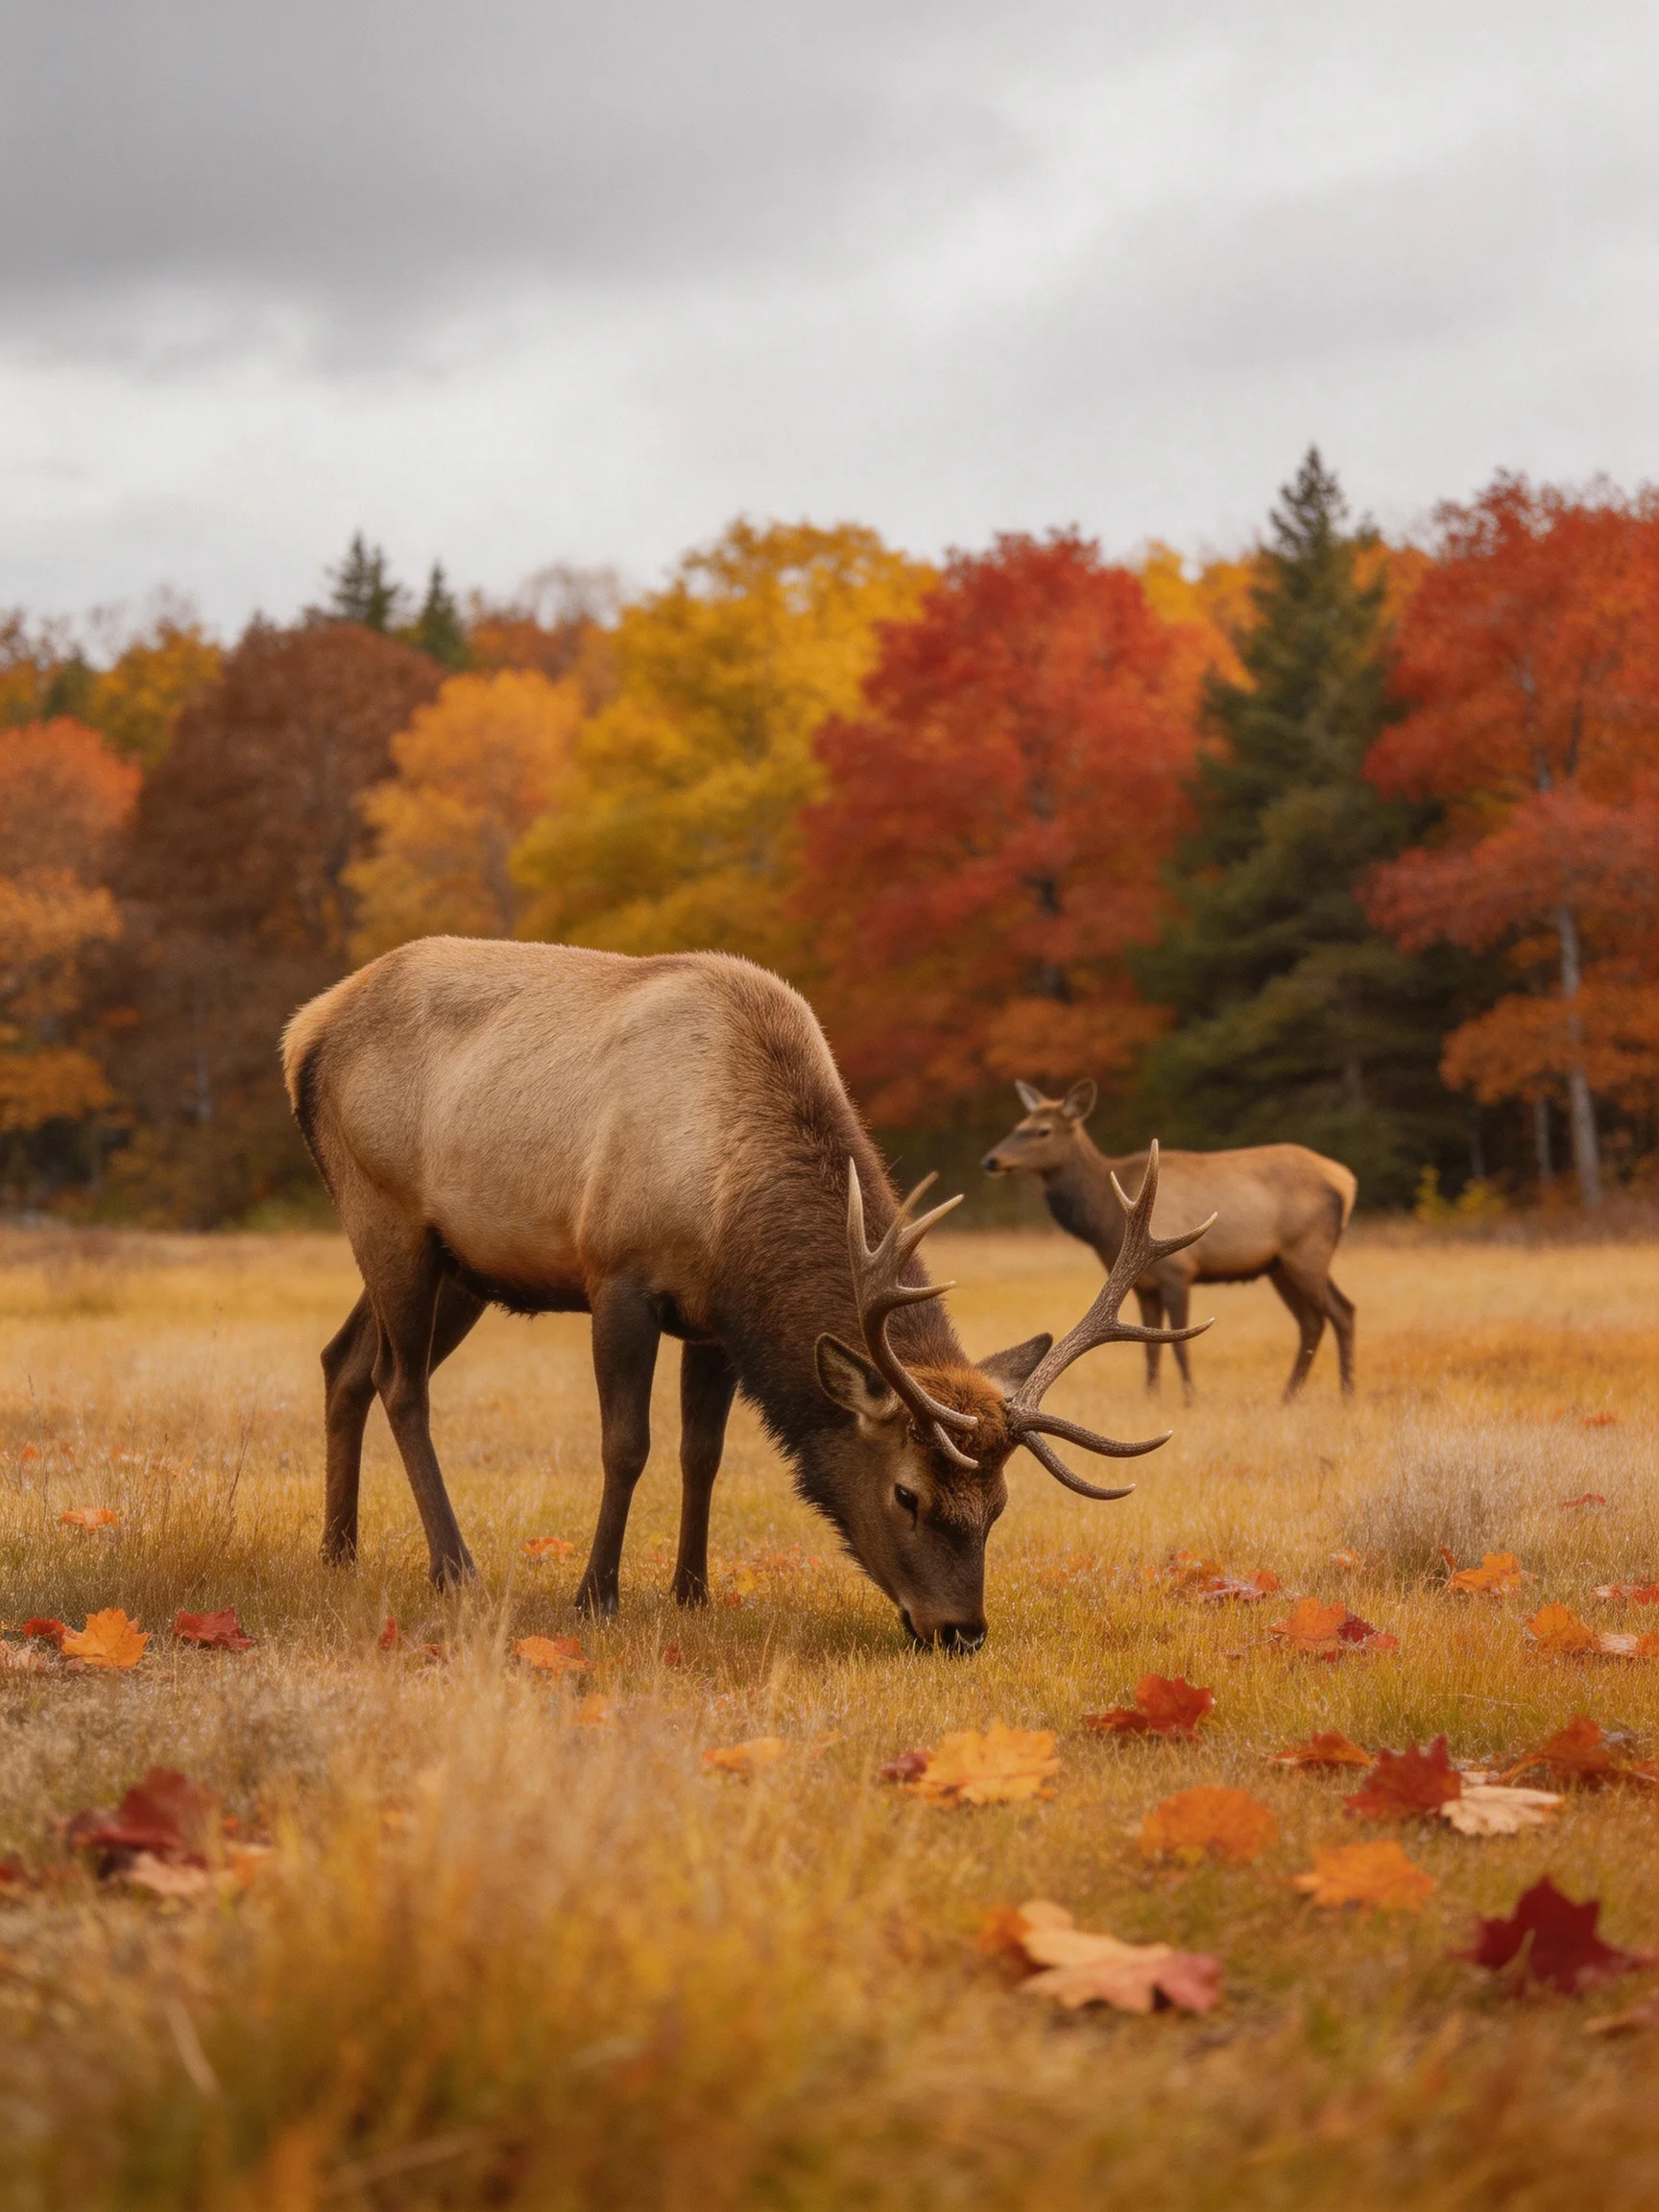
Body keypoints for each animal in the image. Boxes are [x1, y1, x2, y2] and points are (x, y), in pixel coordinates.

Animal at [281, 939, 1212, 1649]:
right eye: (907, 1494)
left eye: (1000, 1505)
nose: (960, 1632)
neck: (731, 1202)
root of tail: (303, 1034)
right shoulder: (620, 1274)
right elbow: (628, 1445)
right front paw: (598, 1595)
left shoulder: (716, 1320)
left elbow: (705, 1453)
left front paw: (691, 1590)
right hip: (384, 1213)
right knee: (401, 1382)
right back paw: (454, 1567)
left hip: (460, 1263)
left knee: (342, 1360)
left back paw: (338, 1550)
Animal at [983, 1080, 1357, 1403]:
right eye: (1019, 1124)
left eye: (1042, 1130)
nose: (990, 1160)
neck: (1104, 1222)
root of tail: (1346, 1180)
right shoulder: (1144, 1284)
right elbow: (1150, 1346)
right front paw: (1151, 1395)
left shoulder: (1178, 1270)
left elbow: (1178, 1342)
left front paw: (1190, 1397)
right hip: (1279, 1266)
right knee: (1312, 1321)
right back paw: (1290, 1395)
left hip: (1307, 1251)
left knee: (1342, 1312)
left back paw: (1344, 1393)